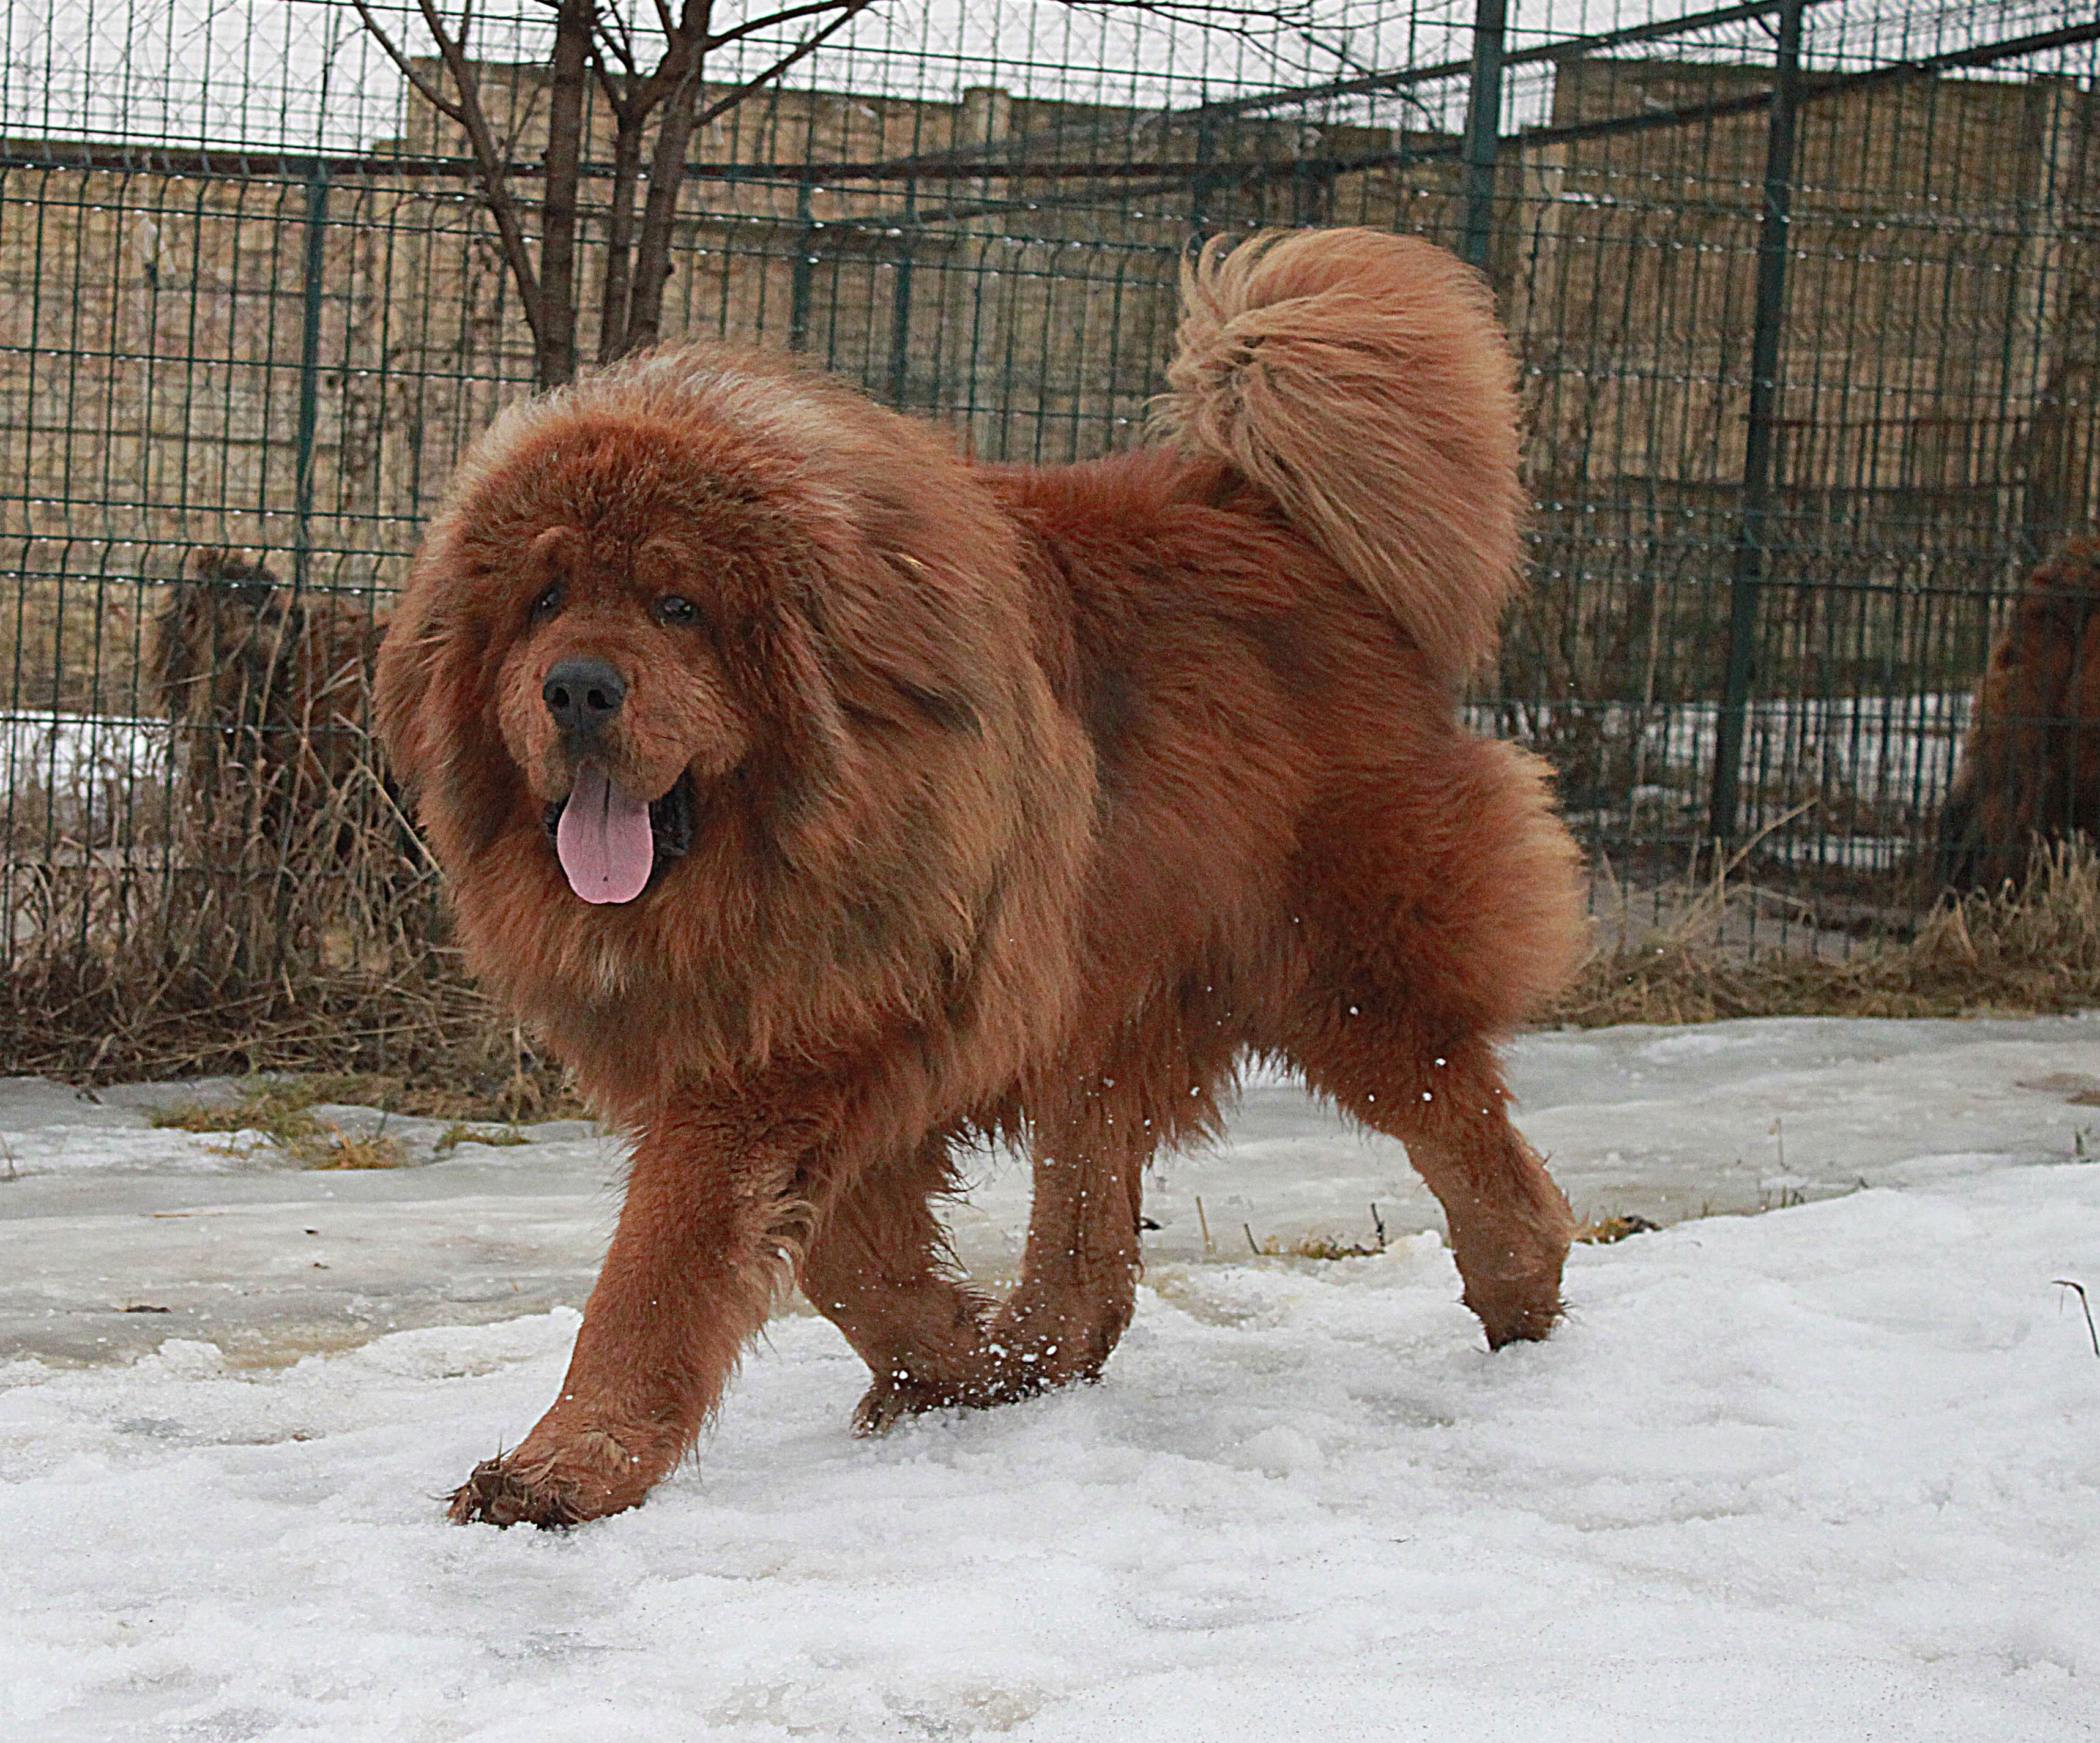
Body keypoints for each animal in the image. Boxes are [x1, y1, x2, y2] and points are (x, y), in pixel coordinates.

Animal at [374, 228, 1587, 1528]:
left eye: (679, 605)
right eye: (543, 599)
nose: (580, 686)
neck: (791, 827)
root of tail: (1264, 509)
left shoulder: (797, 1045)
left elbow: (661, 1268)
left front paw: (564, 1466)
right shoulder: (810, 1037)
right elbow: (841, 1257)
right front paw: (957, 1364)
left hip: (1346, 966)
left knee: (1458, 1118)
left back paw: (1519, 1295)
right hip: (1101, 999)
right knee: (1091, 1232)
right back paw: (1039, 1353)